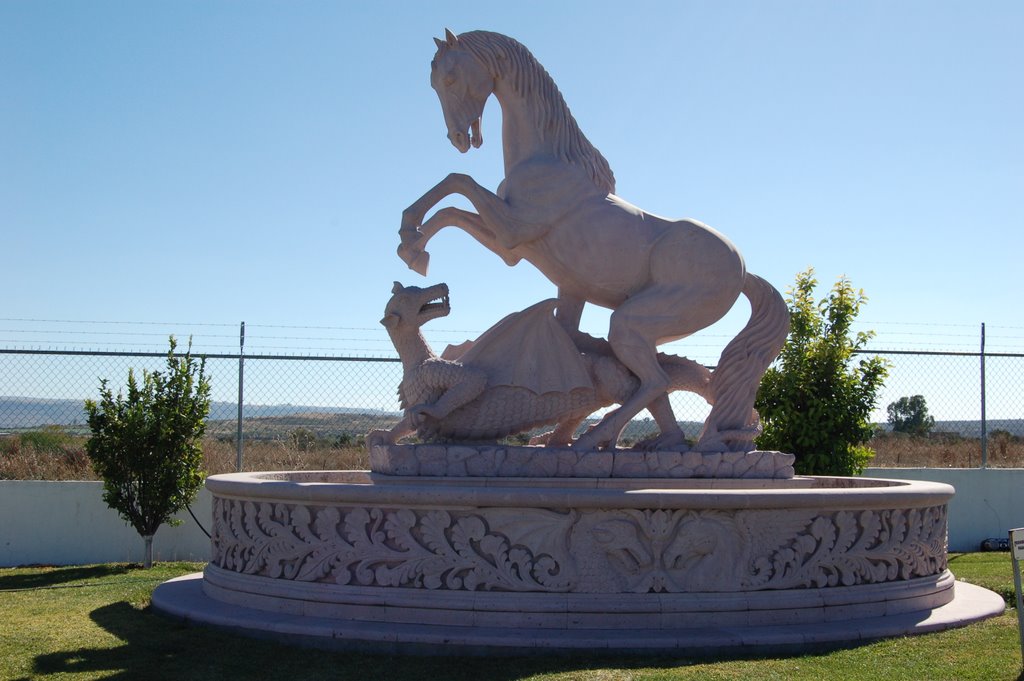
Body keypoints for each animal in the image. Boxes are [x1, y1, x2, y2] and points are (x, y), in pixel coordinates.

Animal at [395, 30, 786, 450]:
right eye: (433, 83)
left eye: (450, 78)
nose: (458, 139)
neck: (547, 159)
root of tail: (743, 271)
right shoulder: (511, 246)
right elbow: (452, 206)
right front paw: (412, 245)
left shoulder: (512, 228)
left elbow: (457, 182)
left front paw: (411, 244)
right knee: (650, 381)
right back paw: (648, 441)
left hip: (631, 322)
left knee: (654, 380)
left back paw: (590, 441)